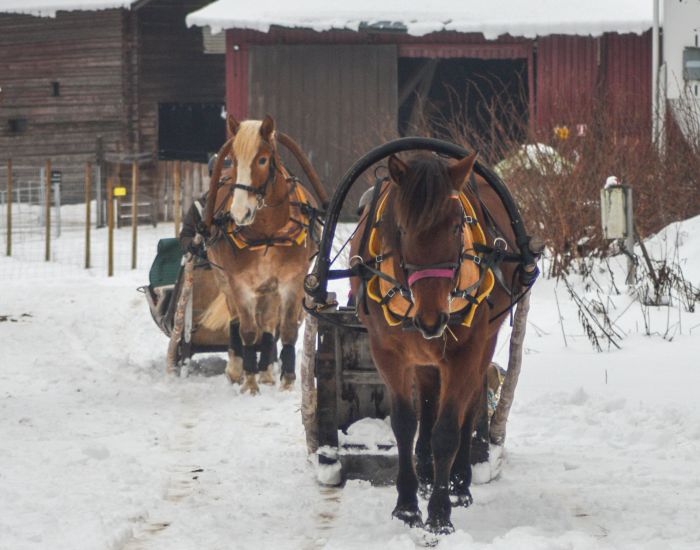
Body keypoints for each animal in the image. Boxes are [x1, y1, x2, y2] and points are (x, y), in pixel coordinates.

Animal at [198, 114, 316, 394]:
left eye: (262, 159)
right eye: (234, 159)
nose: (240, 212)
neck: (268, 233)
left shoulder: (292, 281)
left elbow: (287, 330)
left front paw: (286, 381)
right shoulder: (240, 284)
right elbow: (249, 331)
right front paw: (250, 383)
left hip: (269, 289)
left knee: (269, 324)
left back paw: (268, 371)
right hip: (224, 279)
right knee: (236, 321)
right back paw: (237, 368)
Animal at [350, 152, 520, 540]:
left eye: (457, 227)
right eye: (401, 228)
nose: (432, 318)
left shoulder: (465, 351)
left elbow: (447, 430)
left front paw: (440, 514)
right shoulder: (388, 352)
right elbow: (404, 423)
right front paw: (407, 506)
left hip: (484, 340)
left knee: (469, 405)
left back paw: (458, 483)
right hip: (424, 356)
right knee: (427, 402)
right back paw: (427, 473)